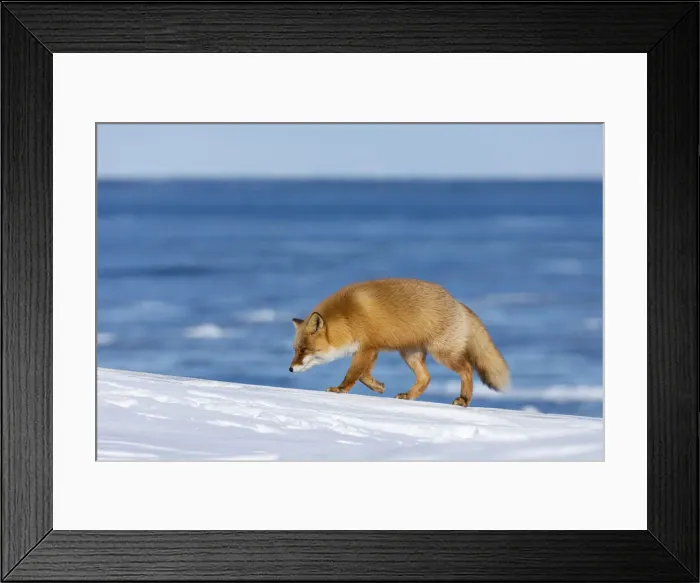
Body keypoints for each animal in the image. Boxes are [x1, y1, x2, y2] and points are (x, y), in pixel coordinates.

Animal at [288, 278, 510, 407]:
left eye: (304, 350)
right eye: (295, 349)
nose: (290, 369)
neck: (347, 318)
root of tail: (457, 302)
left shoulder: (367, 348)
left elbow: (353, 374)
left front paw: (340, 390)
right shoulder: (371, 348)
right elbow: (363, 376)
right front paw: (378, 387)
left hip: (443, 353)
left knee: (467, 369)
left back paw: (463, 399)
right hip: (410, 354)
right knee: (426, 378)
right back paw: (409, 396)